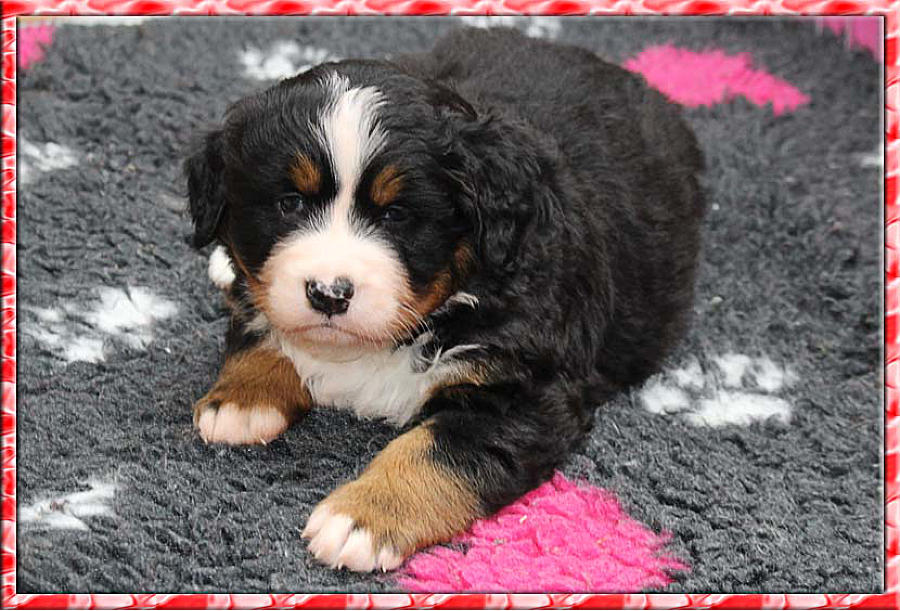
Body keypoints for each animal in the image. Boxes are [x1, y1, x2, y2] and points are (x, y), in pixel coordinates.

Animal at [185, 27, 705, 572]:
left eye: (395, 215)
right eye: (290, 204)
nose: (329, 294)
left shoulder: (522, 393)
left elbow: (432, 452)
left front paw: (363, 516)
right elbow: (258, 324)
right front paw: (242, 398)